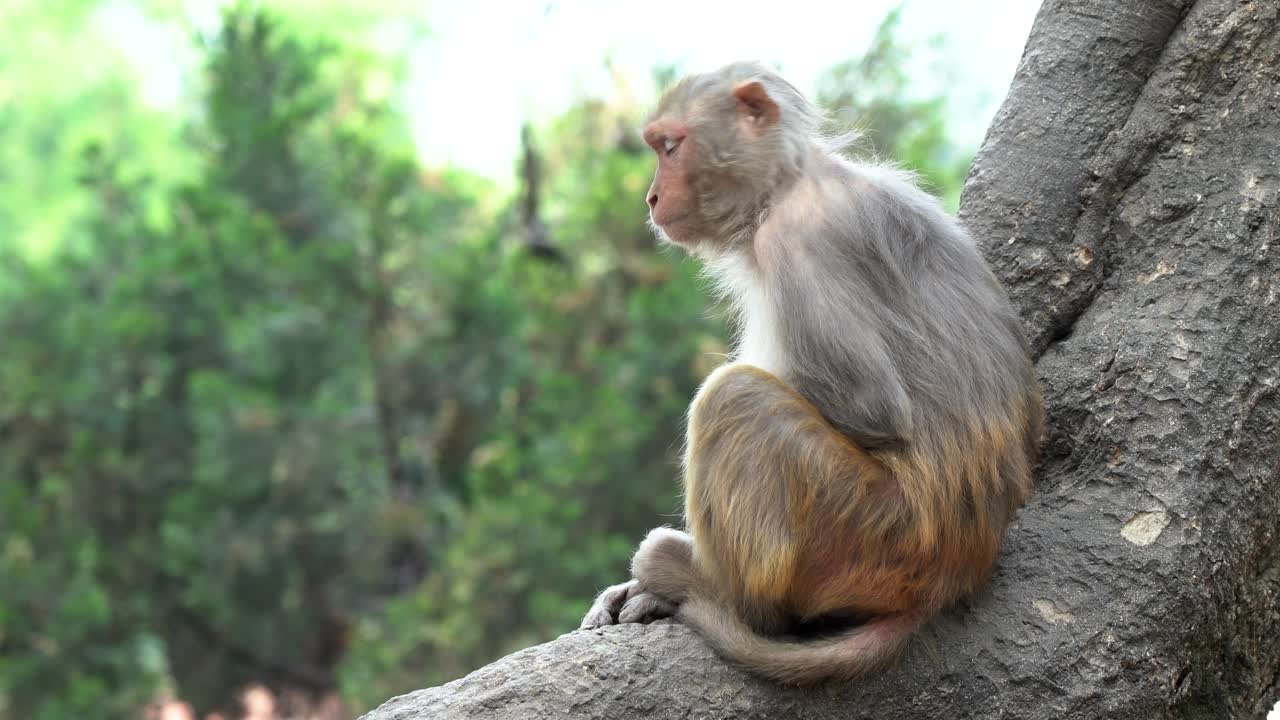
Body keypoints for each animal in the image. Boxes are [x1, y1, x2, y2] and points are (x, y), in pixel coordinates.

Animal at [579, 61, 1043, 685]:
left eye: (670, 147)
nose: (651, 196)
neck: (787, 184)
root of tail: (954, 573)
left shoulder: (795, 240)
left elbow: (872, 409)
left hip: (865, 533)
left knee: (736, 397)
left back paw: (715, 590)